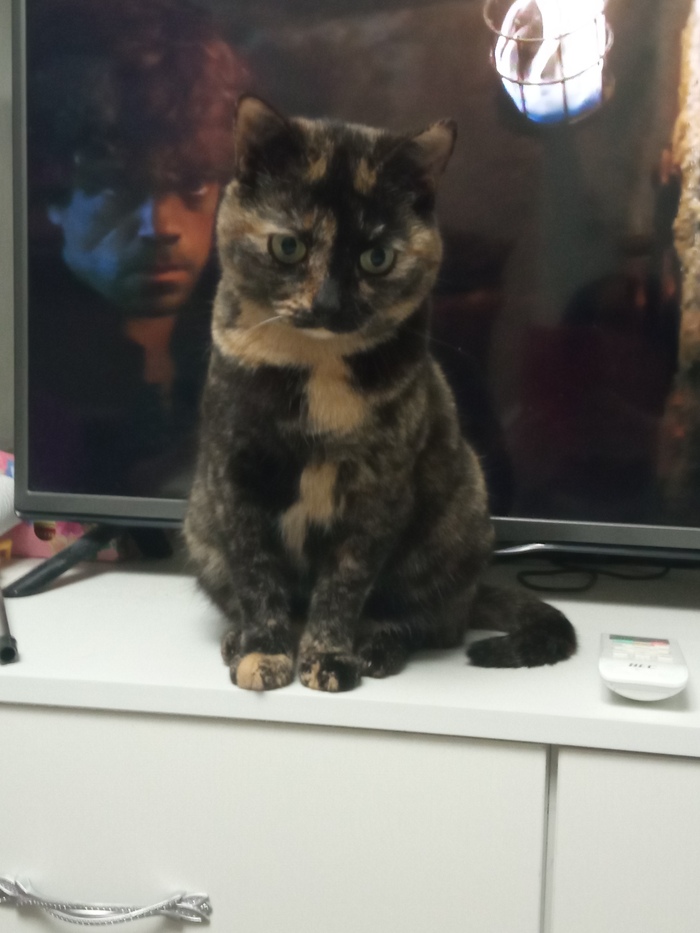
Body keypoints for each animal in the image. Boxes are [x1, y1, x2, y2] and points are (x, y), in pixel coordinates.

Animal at [184, 95, 577, 692]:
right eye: (288, 246)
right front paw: (264, 652)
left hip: (459, 515)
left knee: (433, 621)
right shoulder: (235, 475)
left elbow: (344, 583)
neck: (316, 370)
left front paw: (327, 657)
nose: (328, 303)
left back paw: (378, 646)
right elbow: (256, 575)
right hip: (201, 522)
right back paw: (237, 640)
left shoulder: (379, 489)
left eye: (377, 258)